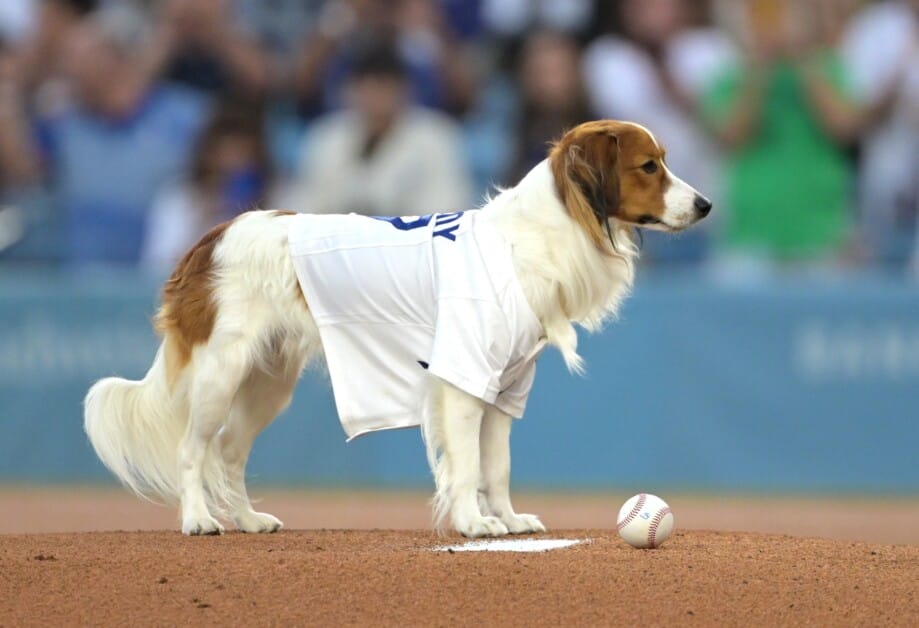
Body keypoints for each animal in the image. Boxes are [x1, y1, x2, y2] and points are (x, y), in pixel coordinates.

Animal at [84, 120, 712, 536]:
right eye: (649, 166)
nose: (706, 205)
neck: (532, 237)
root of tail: (212, 236)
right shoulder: (462, 379)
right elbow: (466, 465)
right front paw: (473, 524)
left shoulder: (505, 385)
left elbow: (497, 467)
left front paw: (507, 519)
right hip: (222, 373)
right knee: (194, 451)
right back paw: (197, 519)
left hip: (267, 382)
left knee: (229, 454)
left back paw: (247, 519)